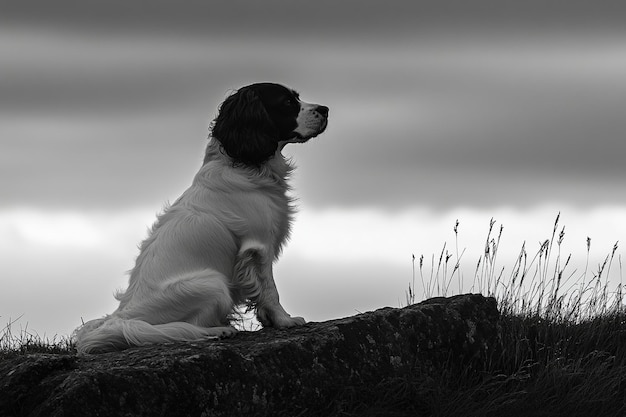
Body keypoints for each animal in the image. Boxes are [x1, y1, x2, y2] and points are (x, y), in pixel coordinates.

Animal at [75, 83, 330, 352]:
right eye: (287, 102)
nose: (325, 109)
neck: (244, 165)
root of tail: (121, 318)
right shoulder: (258, 246)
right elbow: (270, 289)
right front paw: (285, 321)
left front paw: (269, 320)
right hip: (213, 284)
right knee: (187, 327)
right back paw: (219, 330)